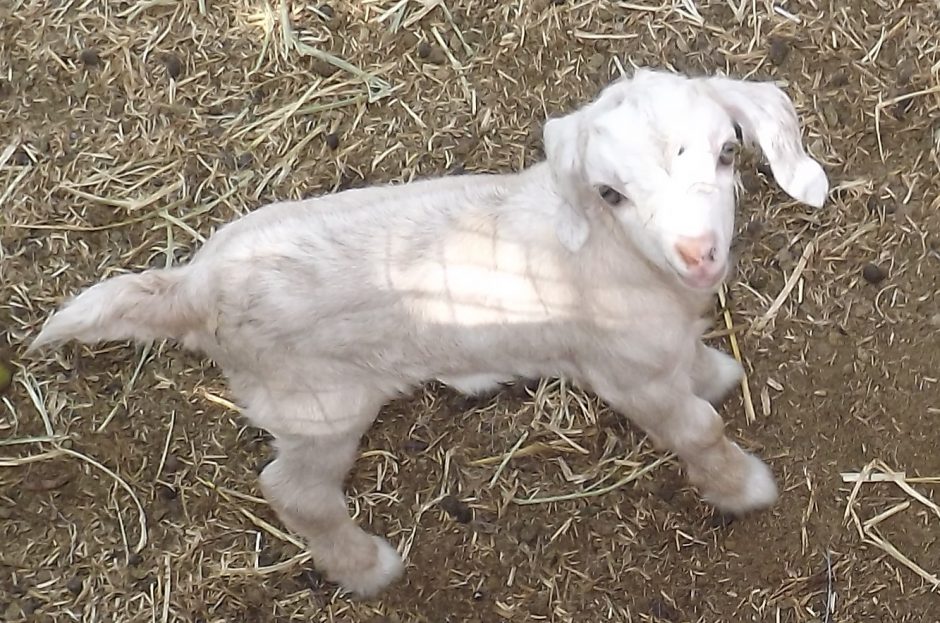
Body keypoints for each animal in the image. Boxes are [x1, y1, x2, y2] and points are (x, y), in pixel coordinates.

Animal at [28, 67, 829, 597]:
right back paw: (365, 567)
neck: (621, 259)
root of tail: (196, 286)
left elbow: (694, 369)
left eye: (727, 152)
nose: (700, 254)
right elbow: (698, 430)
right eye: (610, 193)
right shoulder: (625, 375)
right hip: (319, 403)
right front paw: (742, 487)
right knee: (292, 489)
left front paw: (714, 371)